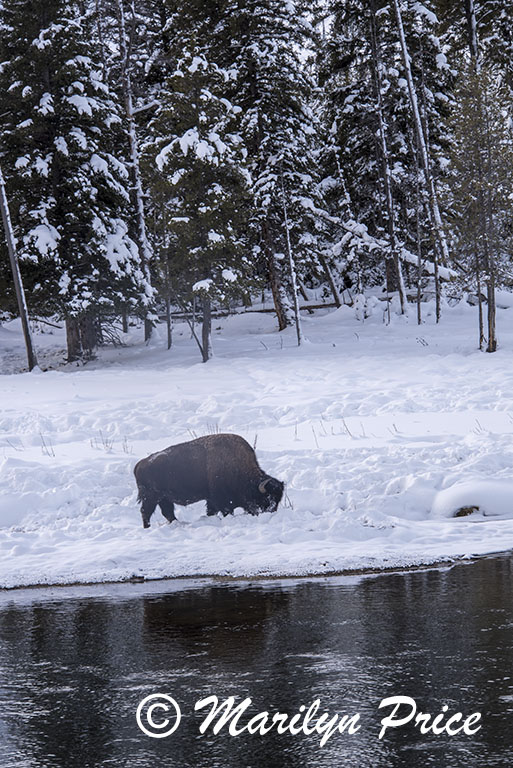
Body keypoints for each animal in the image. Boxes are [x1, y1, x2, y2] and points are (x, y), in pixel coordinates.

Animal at [133, 432, 284, 528]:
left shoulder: (212, 500)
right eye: (267, 498)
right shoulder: (221, 501)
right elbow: (225, 511)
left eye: (278, 500)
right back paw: (148, 528)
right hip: (151, 497)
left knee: (167, 512)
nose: (272, 512)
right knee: (146, 512)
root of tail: (140, 464)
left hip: (163, 498)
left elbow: (211, 511)